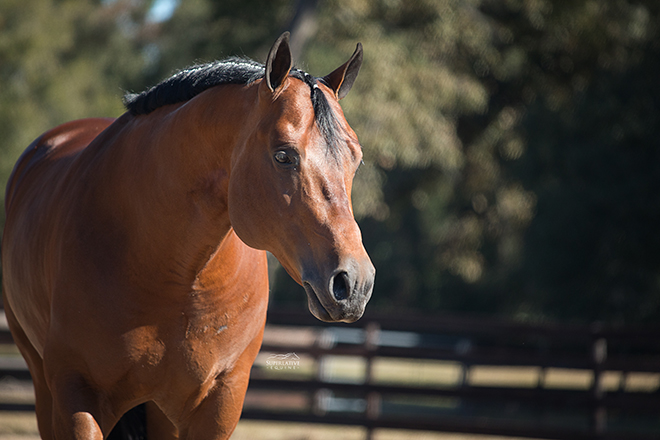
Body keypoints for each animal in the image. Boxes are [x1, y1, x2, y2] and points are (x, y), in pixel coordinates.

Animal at [2, 32, 376, 438]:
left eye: (356, 159)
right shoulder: (76, 394)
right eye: (283, 156)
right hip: (44, 385)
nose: (354, 283)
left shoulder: (221, 399)